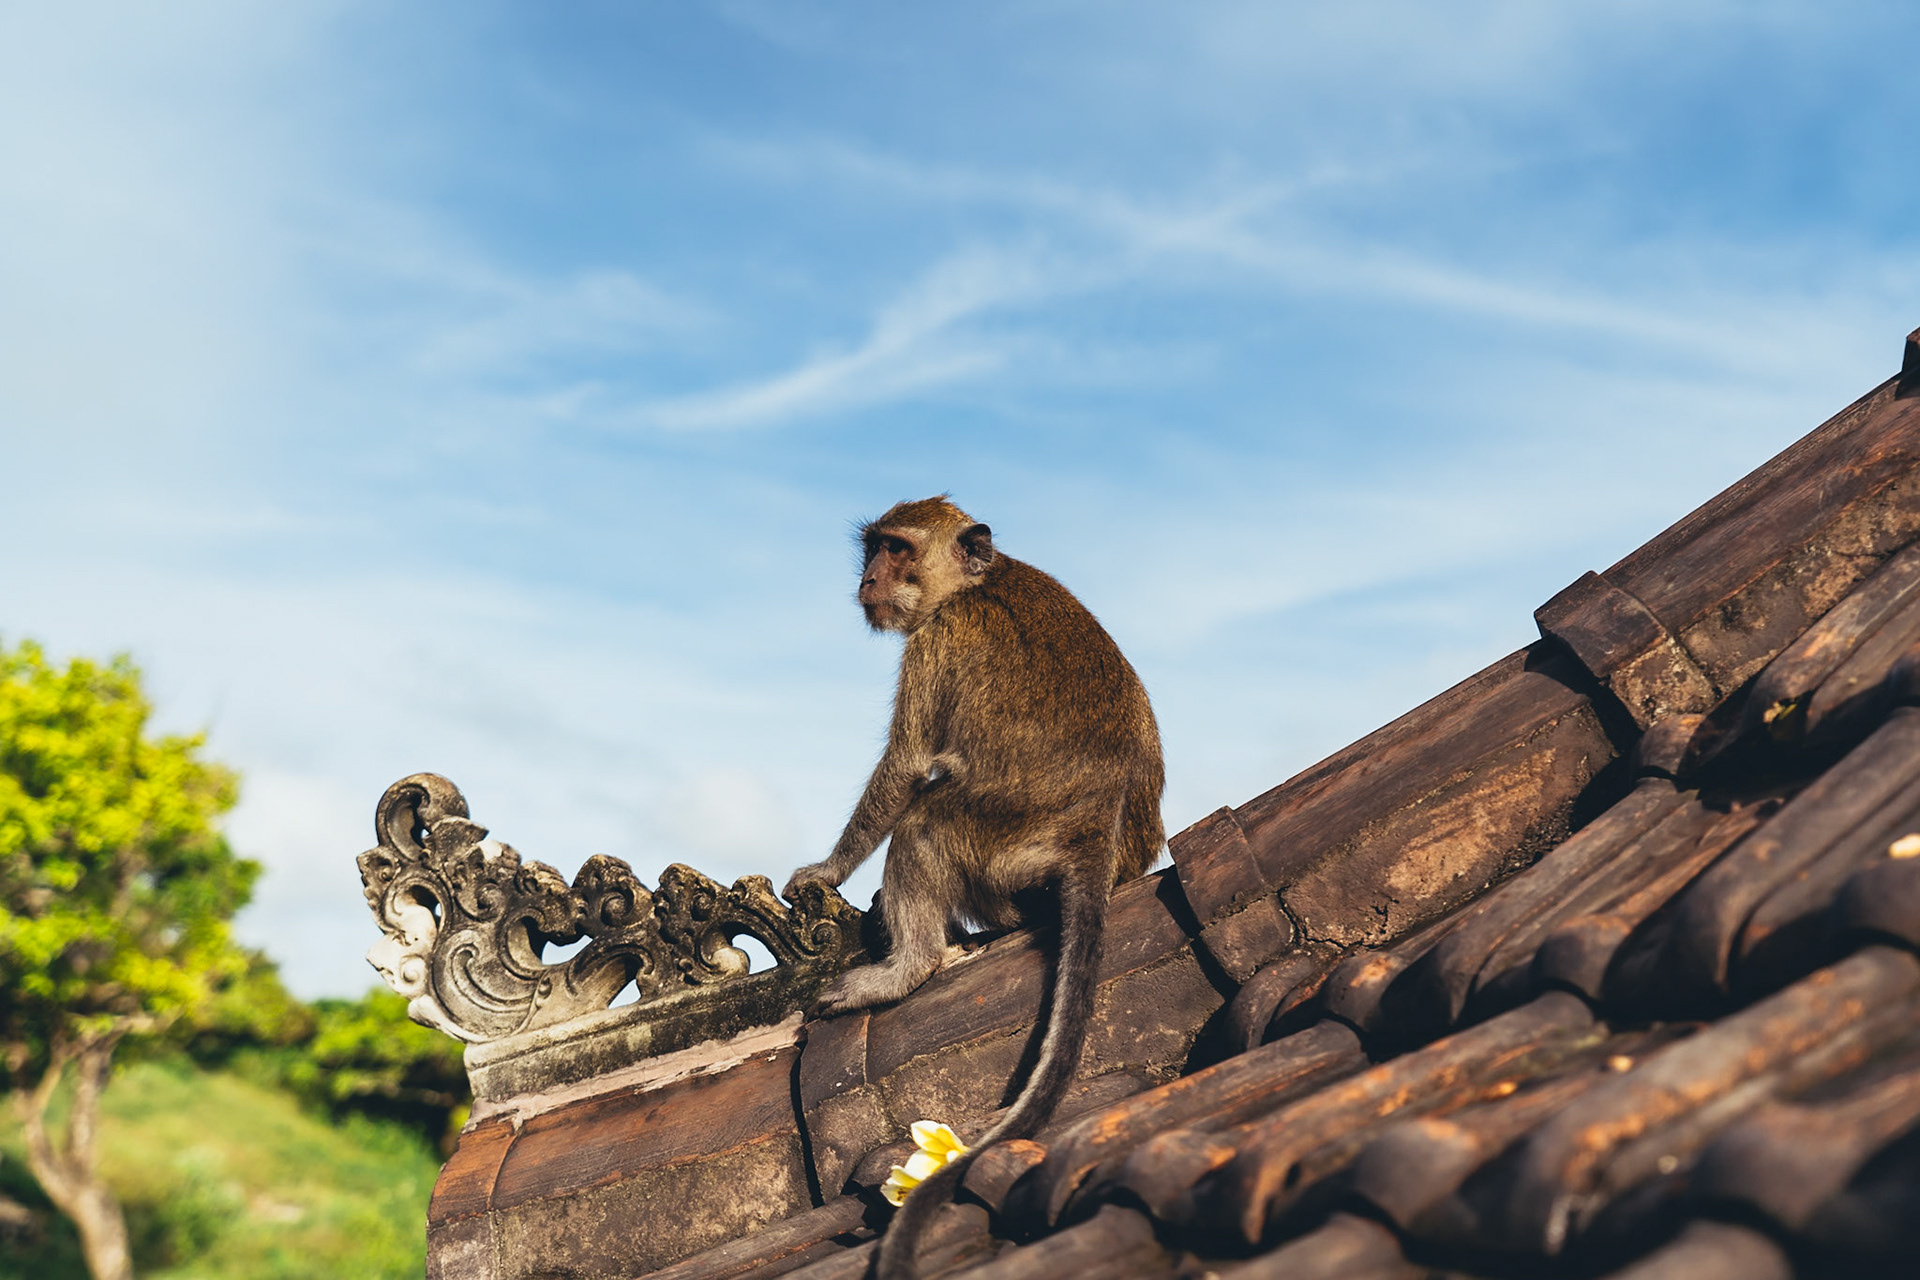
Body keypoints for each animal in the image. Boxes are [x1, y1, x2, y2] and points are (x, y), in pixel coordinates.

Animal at [783, 495, 1164, 1280]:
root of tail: (1098, 827)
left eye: (897, 549)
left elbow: (905, 768)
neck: (972, 586)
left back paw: (906, 968)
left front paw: (828, 870)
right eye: (873, 548)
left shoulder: (936, 642)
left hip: (1000, 838)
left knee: (925, 821)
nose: (869, 578)